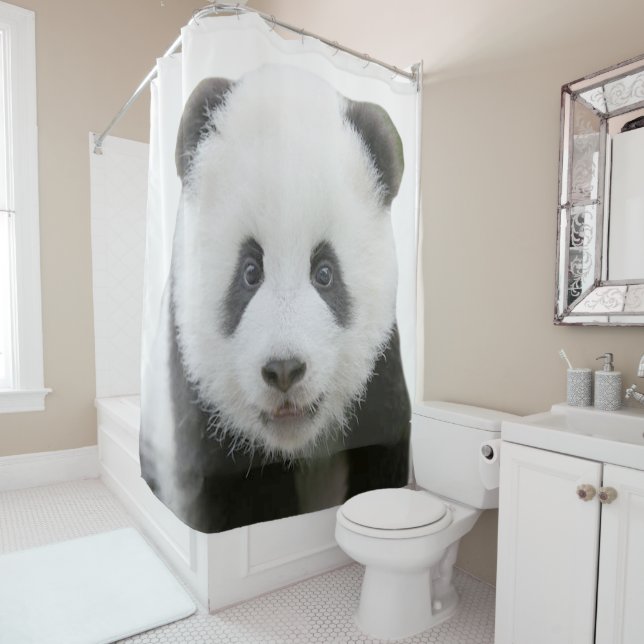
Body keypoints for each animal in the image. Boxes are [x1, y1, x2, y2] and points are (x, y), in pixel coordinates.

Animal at [140, 65, 411, 533]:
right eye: (250, 271)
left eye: (325, 273)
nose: (284, 370)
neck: (292, 443)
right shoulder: (201, 412)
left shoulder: (380, 377)